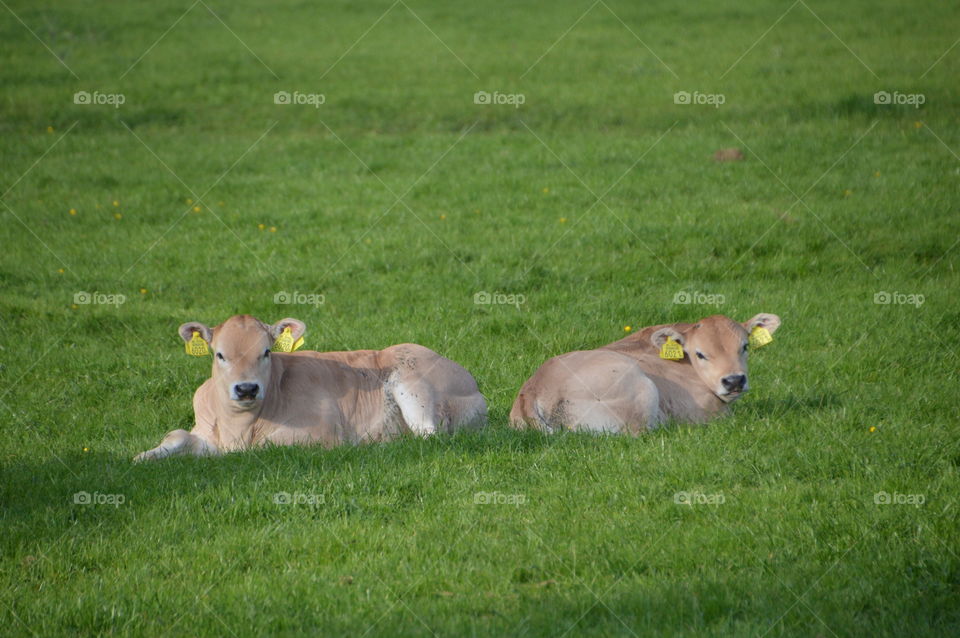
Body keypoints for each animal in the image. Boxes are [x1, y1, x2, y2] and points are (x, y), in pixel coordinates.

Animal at [134, 315, 487, 461]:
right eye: (220, 354)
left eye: (266, 351)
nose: (246, 389)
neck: (238, 427)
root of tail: (473, 385)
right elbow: (177, 436)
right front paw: (143, 457)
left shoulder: (321, 430)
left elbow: (261, 447)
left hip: (413, 382)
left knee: (427, 434)